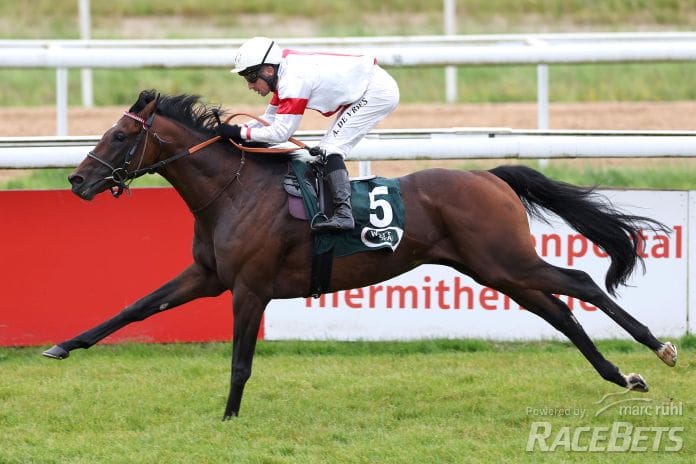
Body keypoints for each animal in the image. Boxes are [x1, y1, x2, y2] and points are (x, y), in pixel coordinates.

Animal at [43, 90, 677, 420]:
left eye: (120, 136)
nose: (76, 180)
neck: (234, 192)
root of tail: (489, 176)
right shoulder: (207, 275)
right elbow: (134, 307)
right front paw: (62, 345)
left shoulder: (250, 287)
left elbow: (241, 360)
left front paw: (228, 417)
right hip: (493, 268)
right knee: (561, 312)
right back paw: (623, 377)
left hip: (506, 260)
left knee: (581, 283)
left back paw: (659, 349)